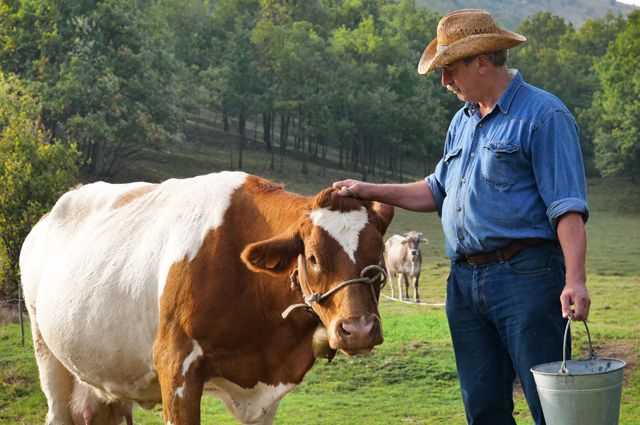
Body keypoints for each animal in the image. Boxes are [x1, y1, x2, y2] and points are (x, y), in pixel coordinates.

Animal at [21, 171, 390, 424]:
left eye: (379, 252)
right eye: (312, 257)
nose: (358, 330)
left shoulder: (265, 391)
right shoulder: (175, 365)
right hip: (48, 356)